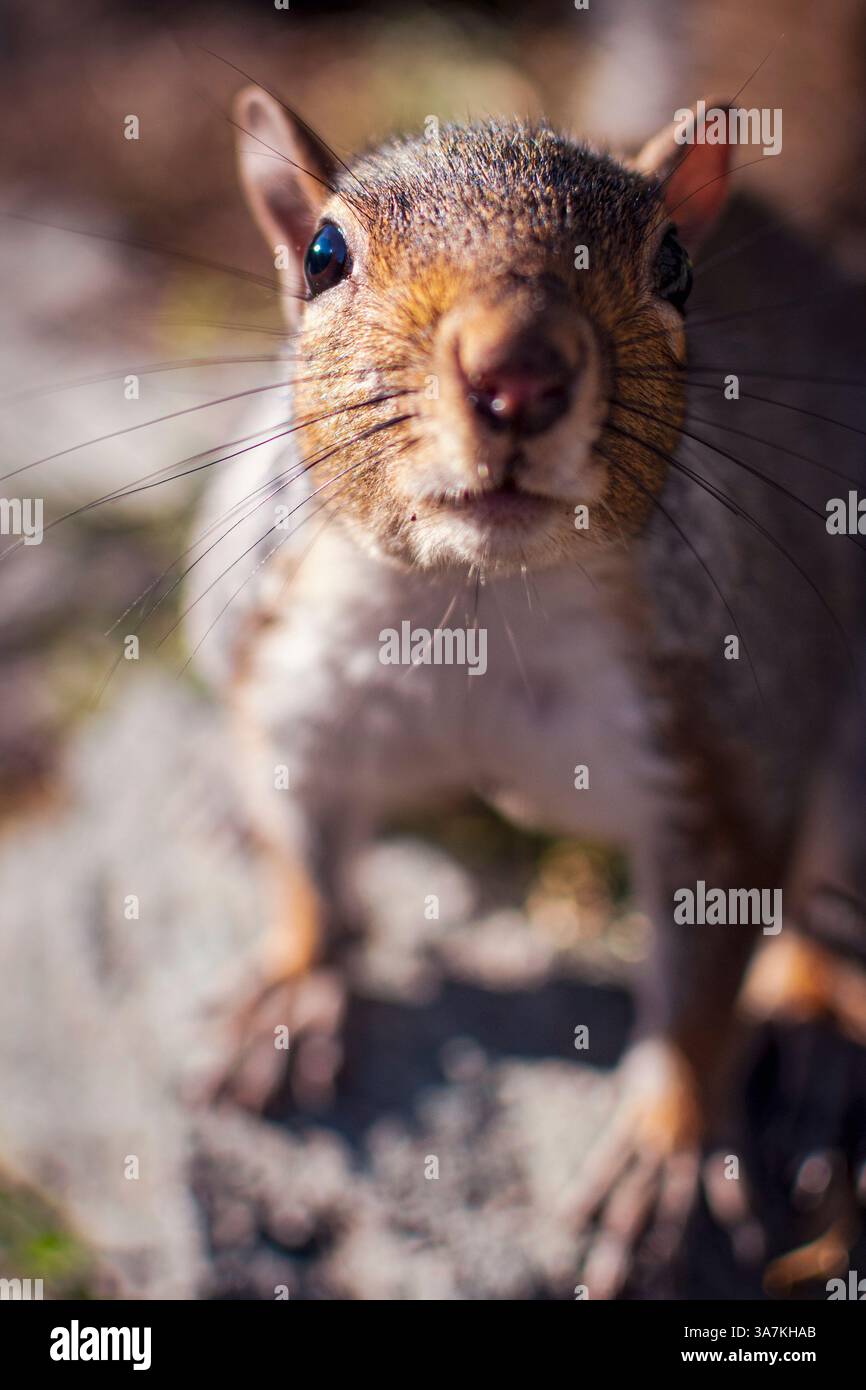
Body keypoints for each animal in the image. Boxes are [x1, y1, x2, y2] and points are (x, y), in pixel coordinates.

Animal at [185, 85, 866, 1296]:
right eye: (322, 255)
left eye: (675, 263)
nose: (519, 374)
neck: (478, 610)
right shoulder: (290, 698)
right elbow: (307, 868)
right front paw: (297, 981)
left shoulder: (729, 747)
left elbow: (702, 990)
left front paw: (663, 1146)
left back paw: (816, 1019)